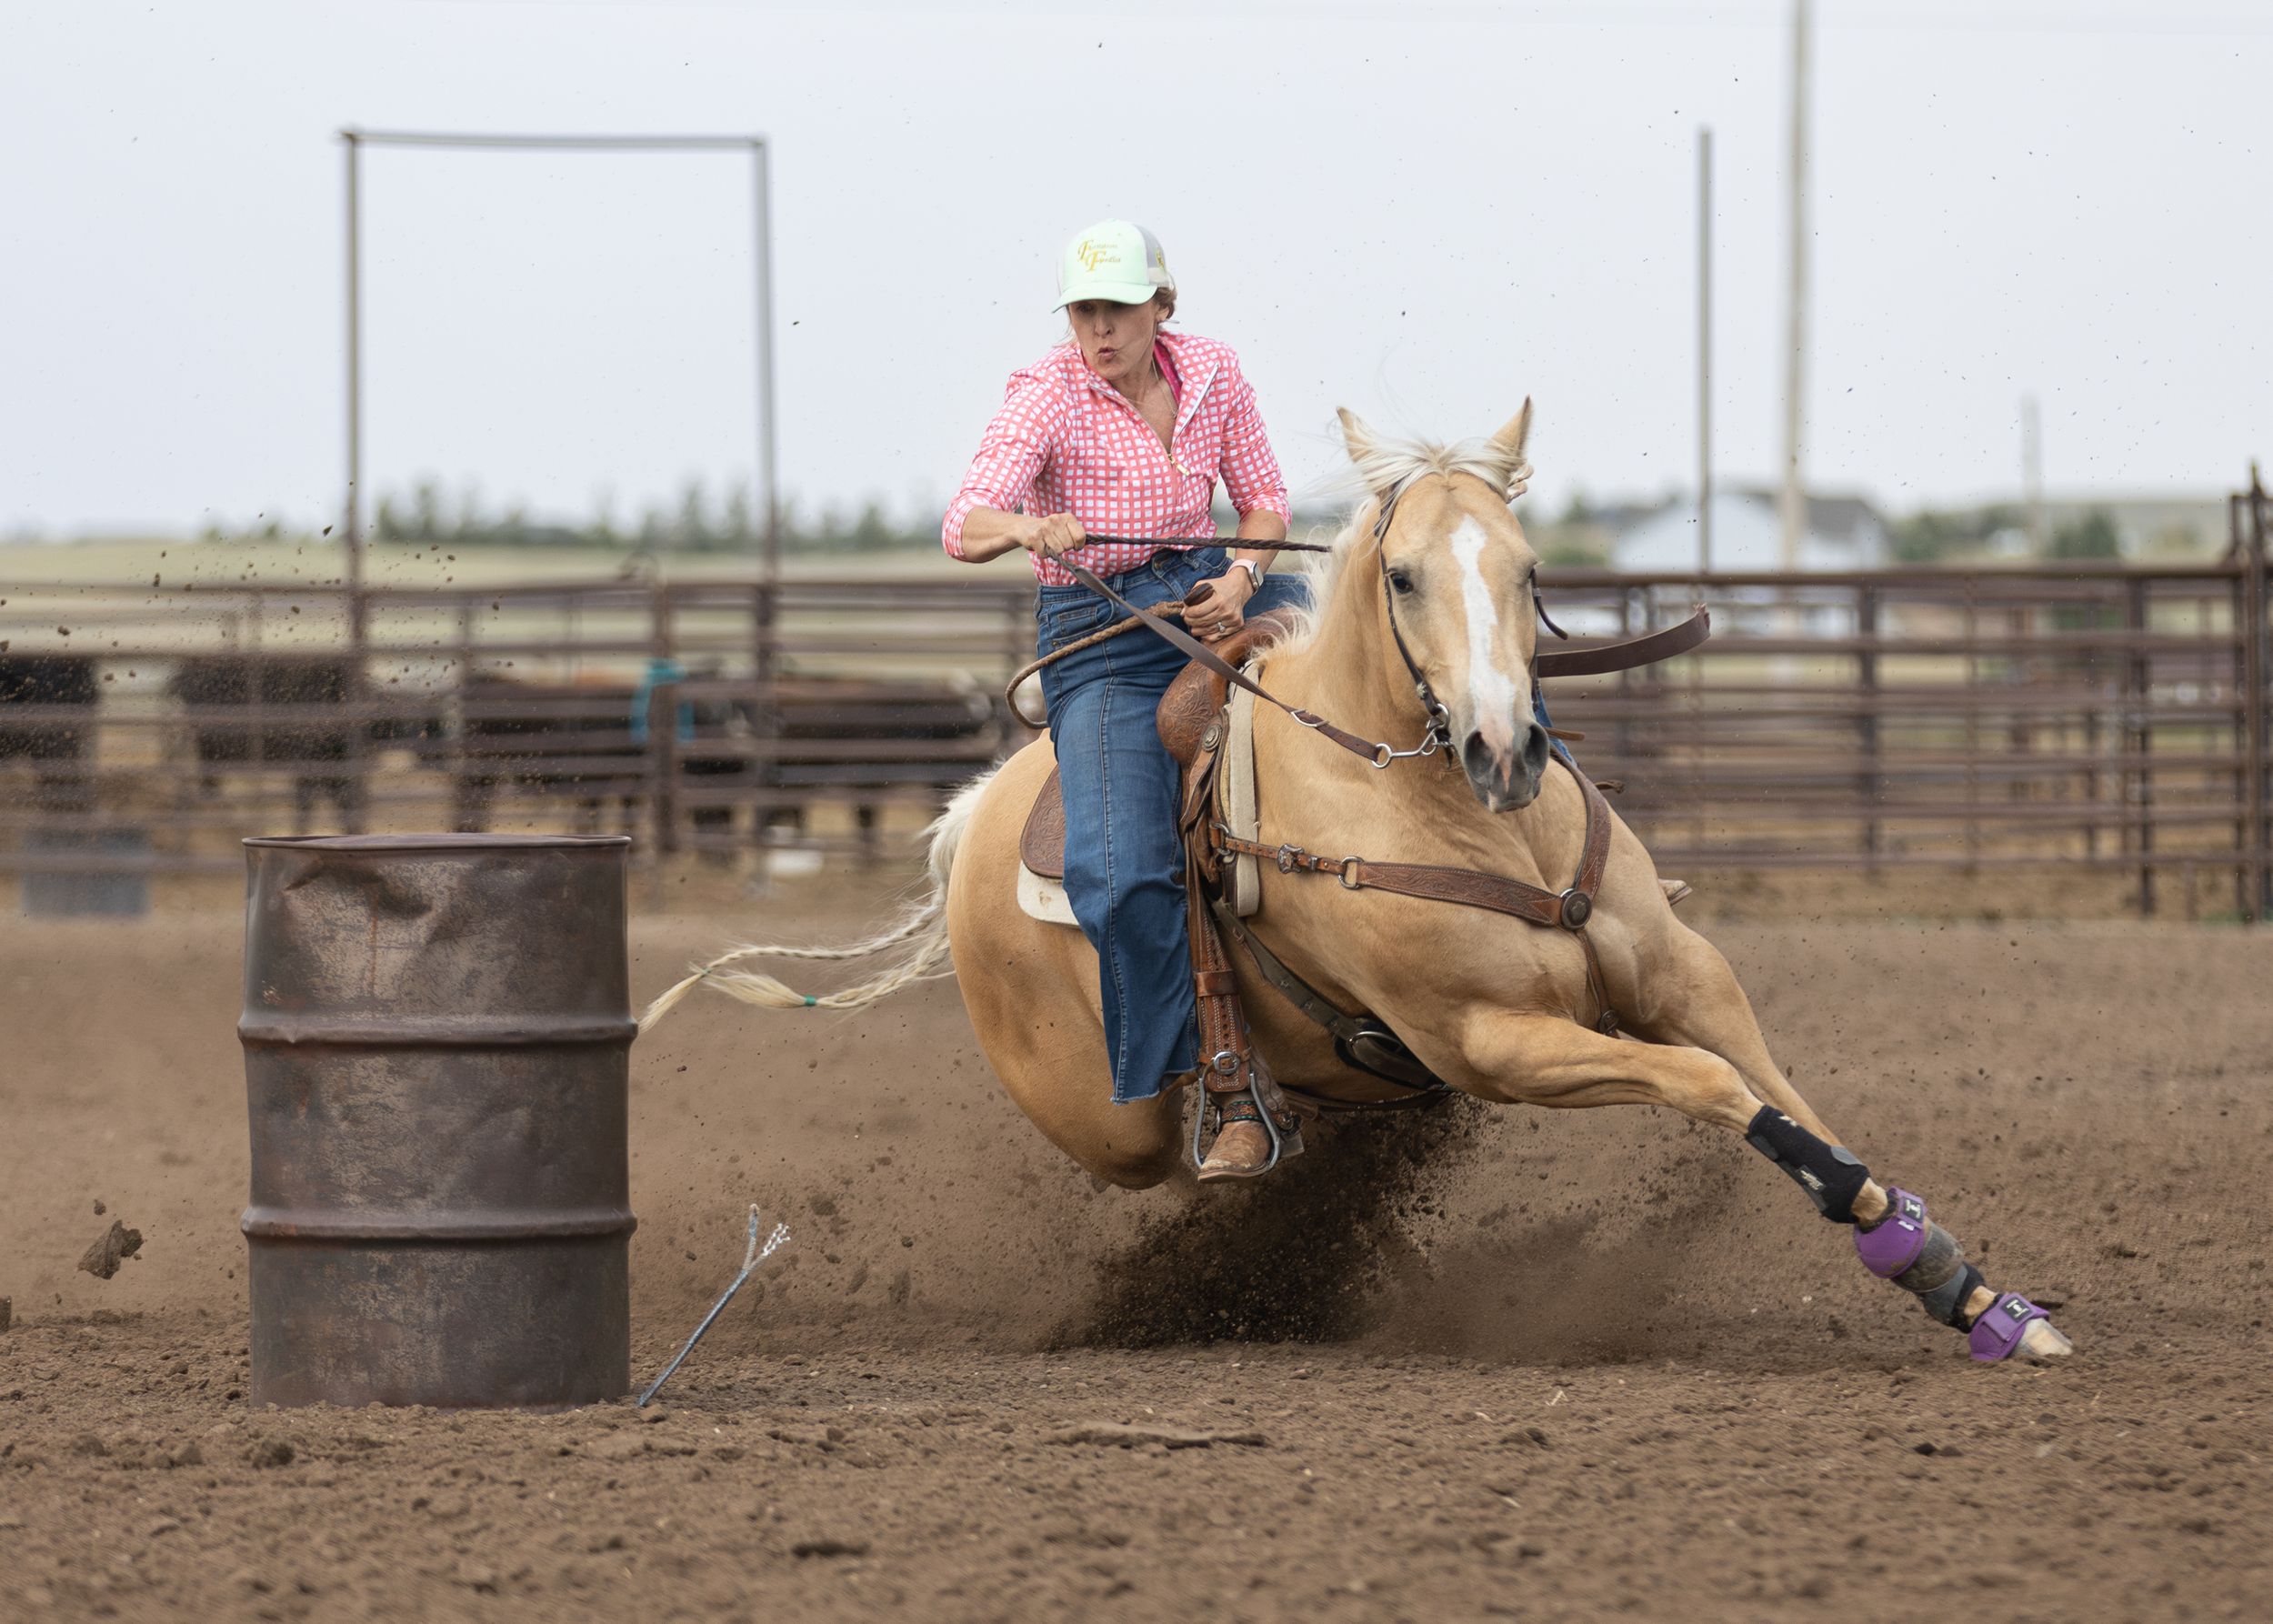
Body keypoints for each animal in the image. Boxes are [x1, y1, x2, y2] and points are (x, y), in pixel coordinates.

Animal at [643, 403, 2074, 1364]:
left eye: (1529, 569)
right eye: (1402, 574)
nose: (1504, 749)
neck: (1457, 817)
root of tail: (968, 820)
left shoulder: (1685, 979)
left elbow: (1785, 1096)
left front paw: (1967, 1288)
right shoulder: (1496, 1040)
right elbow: (1721, 1093)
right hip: (1102, 1115)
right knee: (1160, 1146)